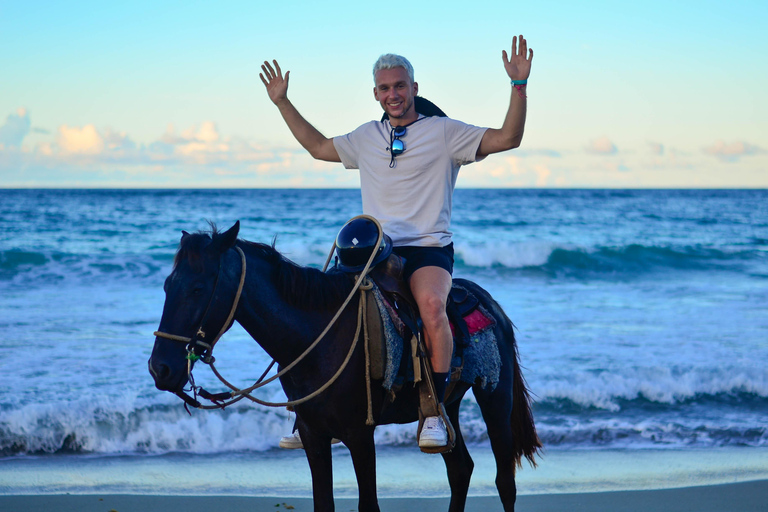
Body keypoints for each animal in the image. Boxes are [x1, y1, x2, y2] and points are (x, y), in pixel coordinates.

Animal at [146, 223, 540, 512]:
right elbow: (324, 504)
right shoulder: (313, 434)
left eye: (198, 289)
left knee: (504, 480)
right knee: (460, 470)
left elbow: (369, 505)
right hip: (450, 405)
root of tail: (488, 301)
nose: (160, 368)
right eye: (166, 285)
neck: (317, 336)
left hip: (495, 398)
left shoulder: (359, 434)